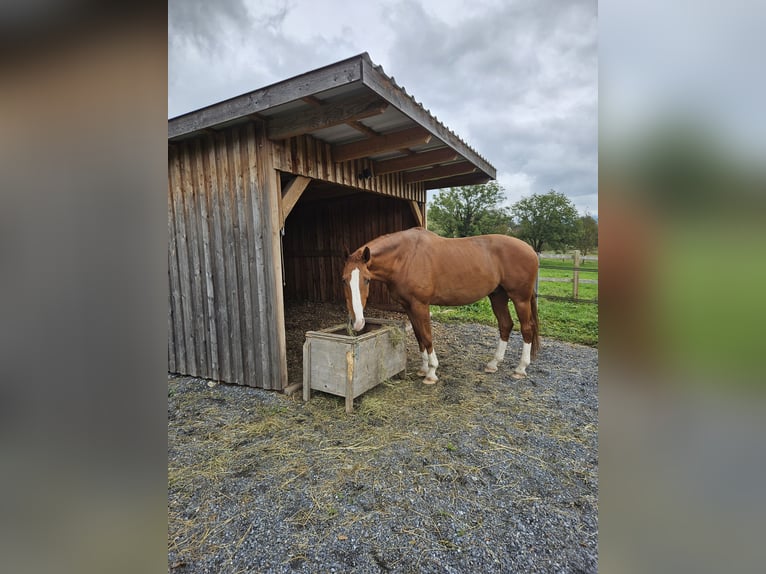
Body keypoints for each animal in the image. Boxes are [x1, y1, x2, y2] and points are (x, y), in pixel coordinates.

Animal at [342, 227, 540, 384]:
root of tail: (530, 250)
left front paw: (431, 372)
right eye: (344, 280)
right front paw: (423, 369)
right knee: (505, 325)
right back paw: (493, 364)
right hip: (498, 296)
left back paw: (520, 369)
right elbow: (419, 336)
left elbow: (427, 337)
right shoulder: (409, 307)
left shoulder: (421, 305)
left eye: (366, 280)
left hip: (520, 299)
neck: (406, 258)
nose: (357, 323)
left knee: (526, 328)